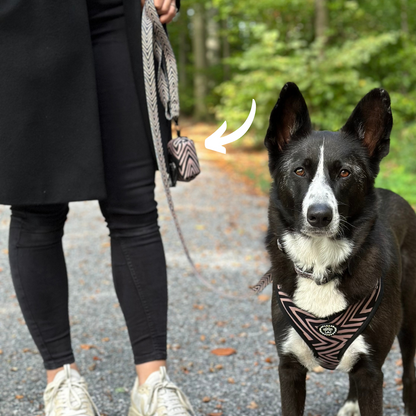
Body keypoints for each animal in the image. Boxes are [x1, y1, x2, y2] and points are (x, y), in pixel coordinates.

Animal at [262, 83, 416, 416]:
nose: (319, 216)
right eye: (299, 171)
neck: (321, 267)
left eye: (345, 173)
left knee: (409, 376)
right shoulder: (289, 368)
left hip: (411, 319)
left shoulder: (372, 372)